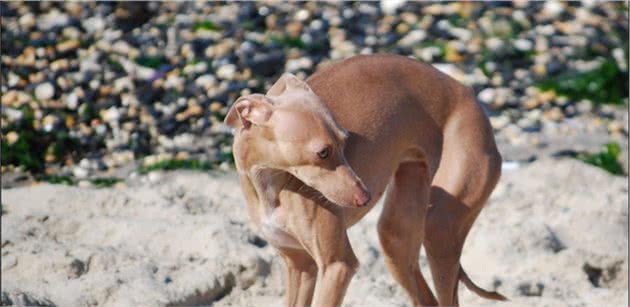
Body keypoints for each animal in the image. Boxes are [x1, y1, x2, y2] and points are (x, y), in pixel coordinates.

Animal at [225, 54, 506, 306]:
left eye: (345, 141)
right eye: (323, 152)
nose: (365, 197)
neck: (269, 184)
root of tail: (468, 93)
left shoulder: (337, 267)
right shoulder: (301, 266)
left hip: (440, 230)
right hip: (396, 237)